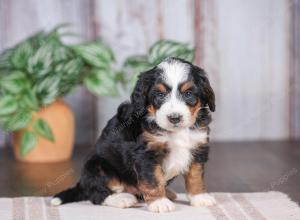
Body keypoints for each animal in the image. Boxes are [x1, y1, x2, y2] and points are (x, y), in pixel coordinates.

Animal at [51, 57, 216, 212]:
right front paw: (159, 203)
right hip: (97, 165)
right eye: (159, 94)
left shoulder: (198, 147)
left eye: (188, 93)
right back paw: (122, 199)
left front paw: (200, 197)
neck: (176, 132)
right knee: (97, 194)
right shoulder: (146, 154)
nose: (174, 118)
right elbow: (153, 180)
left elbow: (195, 176)